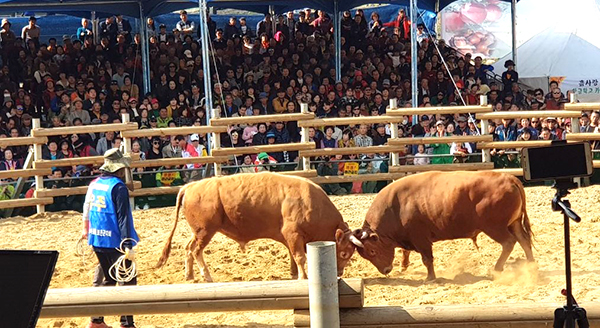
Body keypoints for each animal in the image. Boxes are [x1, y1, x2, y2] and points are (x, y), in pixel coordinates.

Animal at [156, 170, 360, 280]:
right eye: (344, 253)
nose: (339, 272)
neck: (310, 202)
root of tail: (191, 186)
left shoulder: (290, 238)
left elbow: (293, 256)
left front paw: (294, 274)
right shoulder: (293, 234)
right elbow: (300, 257)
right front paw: (303, 276)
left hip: (197, 232)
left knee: (187, 248)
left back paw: (189, 275)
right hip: (205, 231)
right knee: (196, 251)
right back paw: (207, 276)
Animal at [352, 170, 536, 280]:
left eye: (372, 251)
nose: (386, 270)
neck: (396, 207)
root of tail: (509, 178)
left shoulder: (421, 239)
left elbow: (427, 259)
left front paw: (430, 278)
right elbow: (406, 251)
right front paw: (404, 266)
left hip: (495, 227)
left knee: (509, 242)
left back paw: (497, 268)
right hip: (514, 224)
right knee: (524, 240)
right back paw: (531, 265)